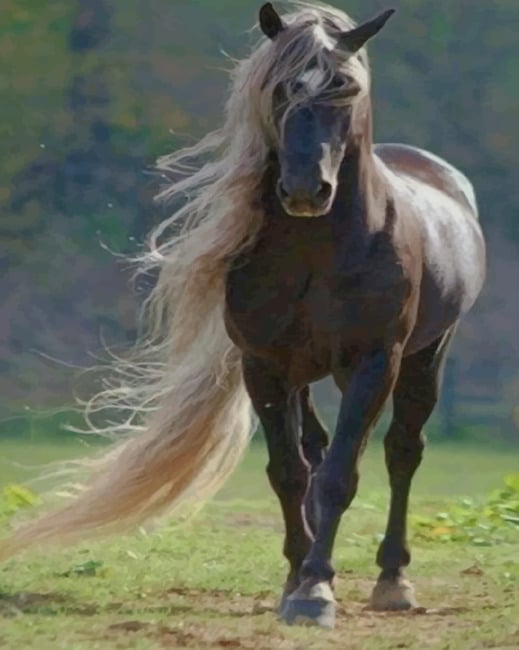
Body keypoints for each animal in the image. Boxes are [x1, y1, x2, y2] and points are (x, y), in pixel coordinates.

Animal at [0, 1, 485, 629]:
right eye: (279, 91)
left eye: (346, 88)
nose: (305, 189)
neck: (318, 250)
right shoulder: (265, 365)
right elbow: (289, 472)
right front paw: (298, 579)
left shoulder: (374, 362)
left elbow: (340, 475)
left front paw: (316, 590)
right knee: (317, 448)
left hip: (427, 355)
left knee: (402, 451)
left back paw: (392, 578)